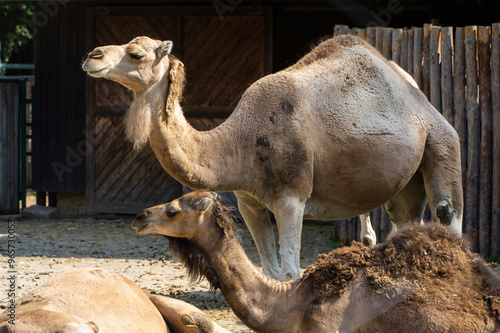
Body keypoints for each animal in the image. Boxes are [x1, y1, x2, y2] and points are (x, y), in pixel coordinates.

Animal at [80, 33, 462, 278]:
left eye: (136, 54)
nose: (92, 55)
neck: (239, 141)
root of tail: (417, 94)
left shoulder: (292, 197)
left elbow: (291, 272)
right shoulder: (248, 200)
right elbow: (271, 270)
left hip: (442, 142)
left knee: (447, 213)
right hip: (405, 181)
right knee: (405, 219)